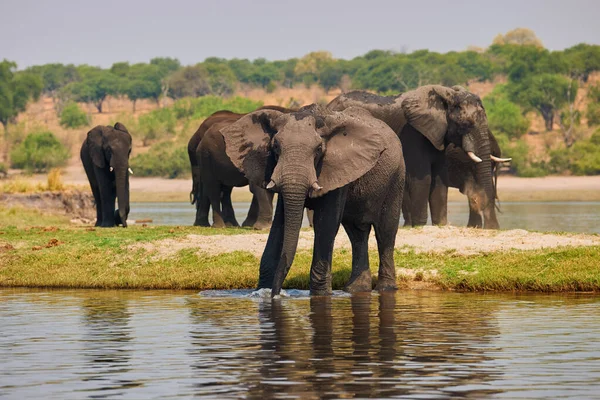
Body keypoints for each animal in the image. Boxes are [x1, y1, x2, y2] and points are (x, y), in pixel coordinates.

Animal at [219, 104, 404, 296]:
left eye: (318, 149)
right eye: (275, 147)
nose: (276, 294)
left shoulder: (336, 169)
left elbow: (326, 224)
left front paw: (320, 294)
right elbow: (280, 224)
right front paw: (263, 291)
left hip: (396, 178)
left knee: (385, 233)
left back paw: (385, 289)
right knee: (357, 234)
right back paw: (355, 290)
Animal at [328, 86, 502, 231]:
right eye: (466, 124)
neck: (447, 96)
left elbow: (439, 179)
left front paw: (440, 224)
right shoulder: (413, 133)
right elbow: (423, 179)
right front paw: (419, 225)